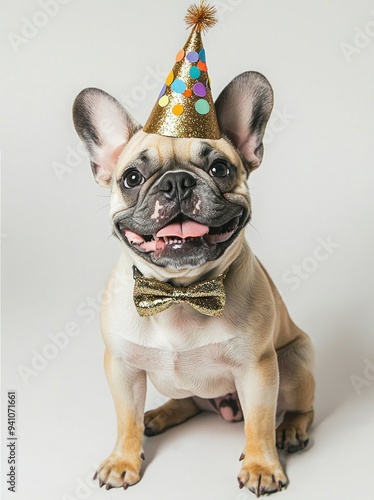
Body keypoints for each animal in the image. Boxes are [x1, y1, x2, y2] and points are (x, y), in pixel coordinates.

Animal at [73, 71, 316, 496]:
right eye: (132, 178)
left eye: (220, 169)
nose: (177, 182)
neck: (180, 293)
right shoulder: (121, 367)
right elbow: (125, 419)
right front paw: (123, 460)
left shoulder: (258, 368)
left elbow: (259, 423)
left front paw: (262, 466)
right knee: (185, 401)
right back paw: (160, 414)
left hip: (294, 360)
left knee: (301, 408)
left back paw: (291, 429)